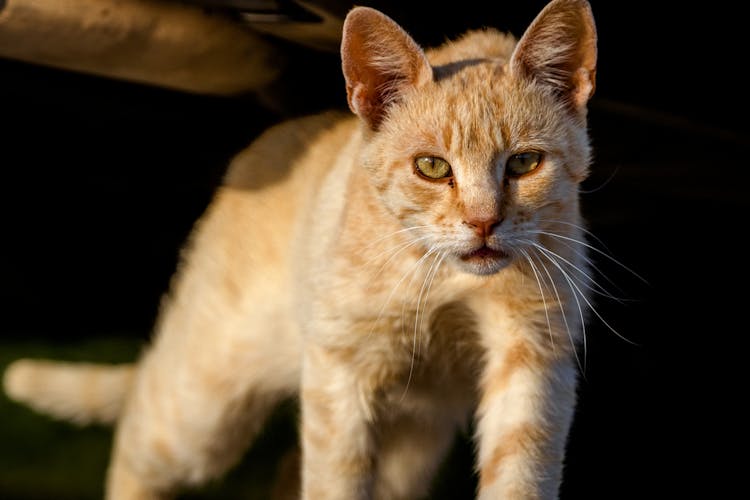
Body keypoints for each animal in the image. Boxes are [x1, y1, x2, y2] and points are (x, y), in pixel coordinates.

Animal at [1, 1, 600, 498]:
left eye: (524, 163)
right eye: (431, 167)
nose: (483, 222)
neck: (445, 279)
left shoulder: (534, 357)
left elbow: (521, 475)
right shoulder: (342, 370)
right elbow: (335, 483)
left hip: (412, 438)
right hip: (204, 405)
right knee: (139, 428)